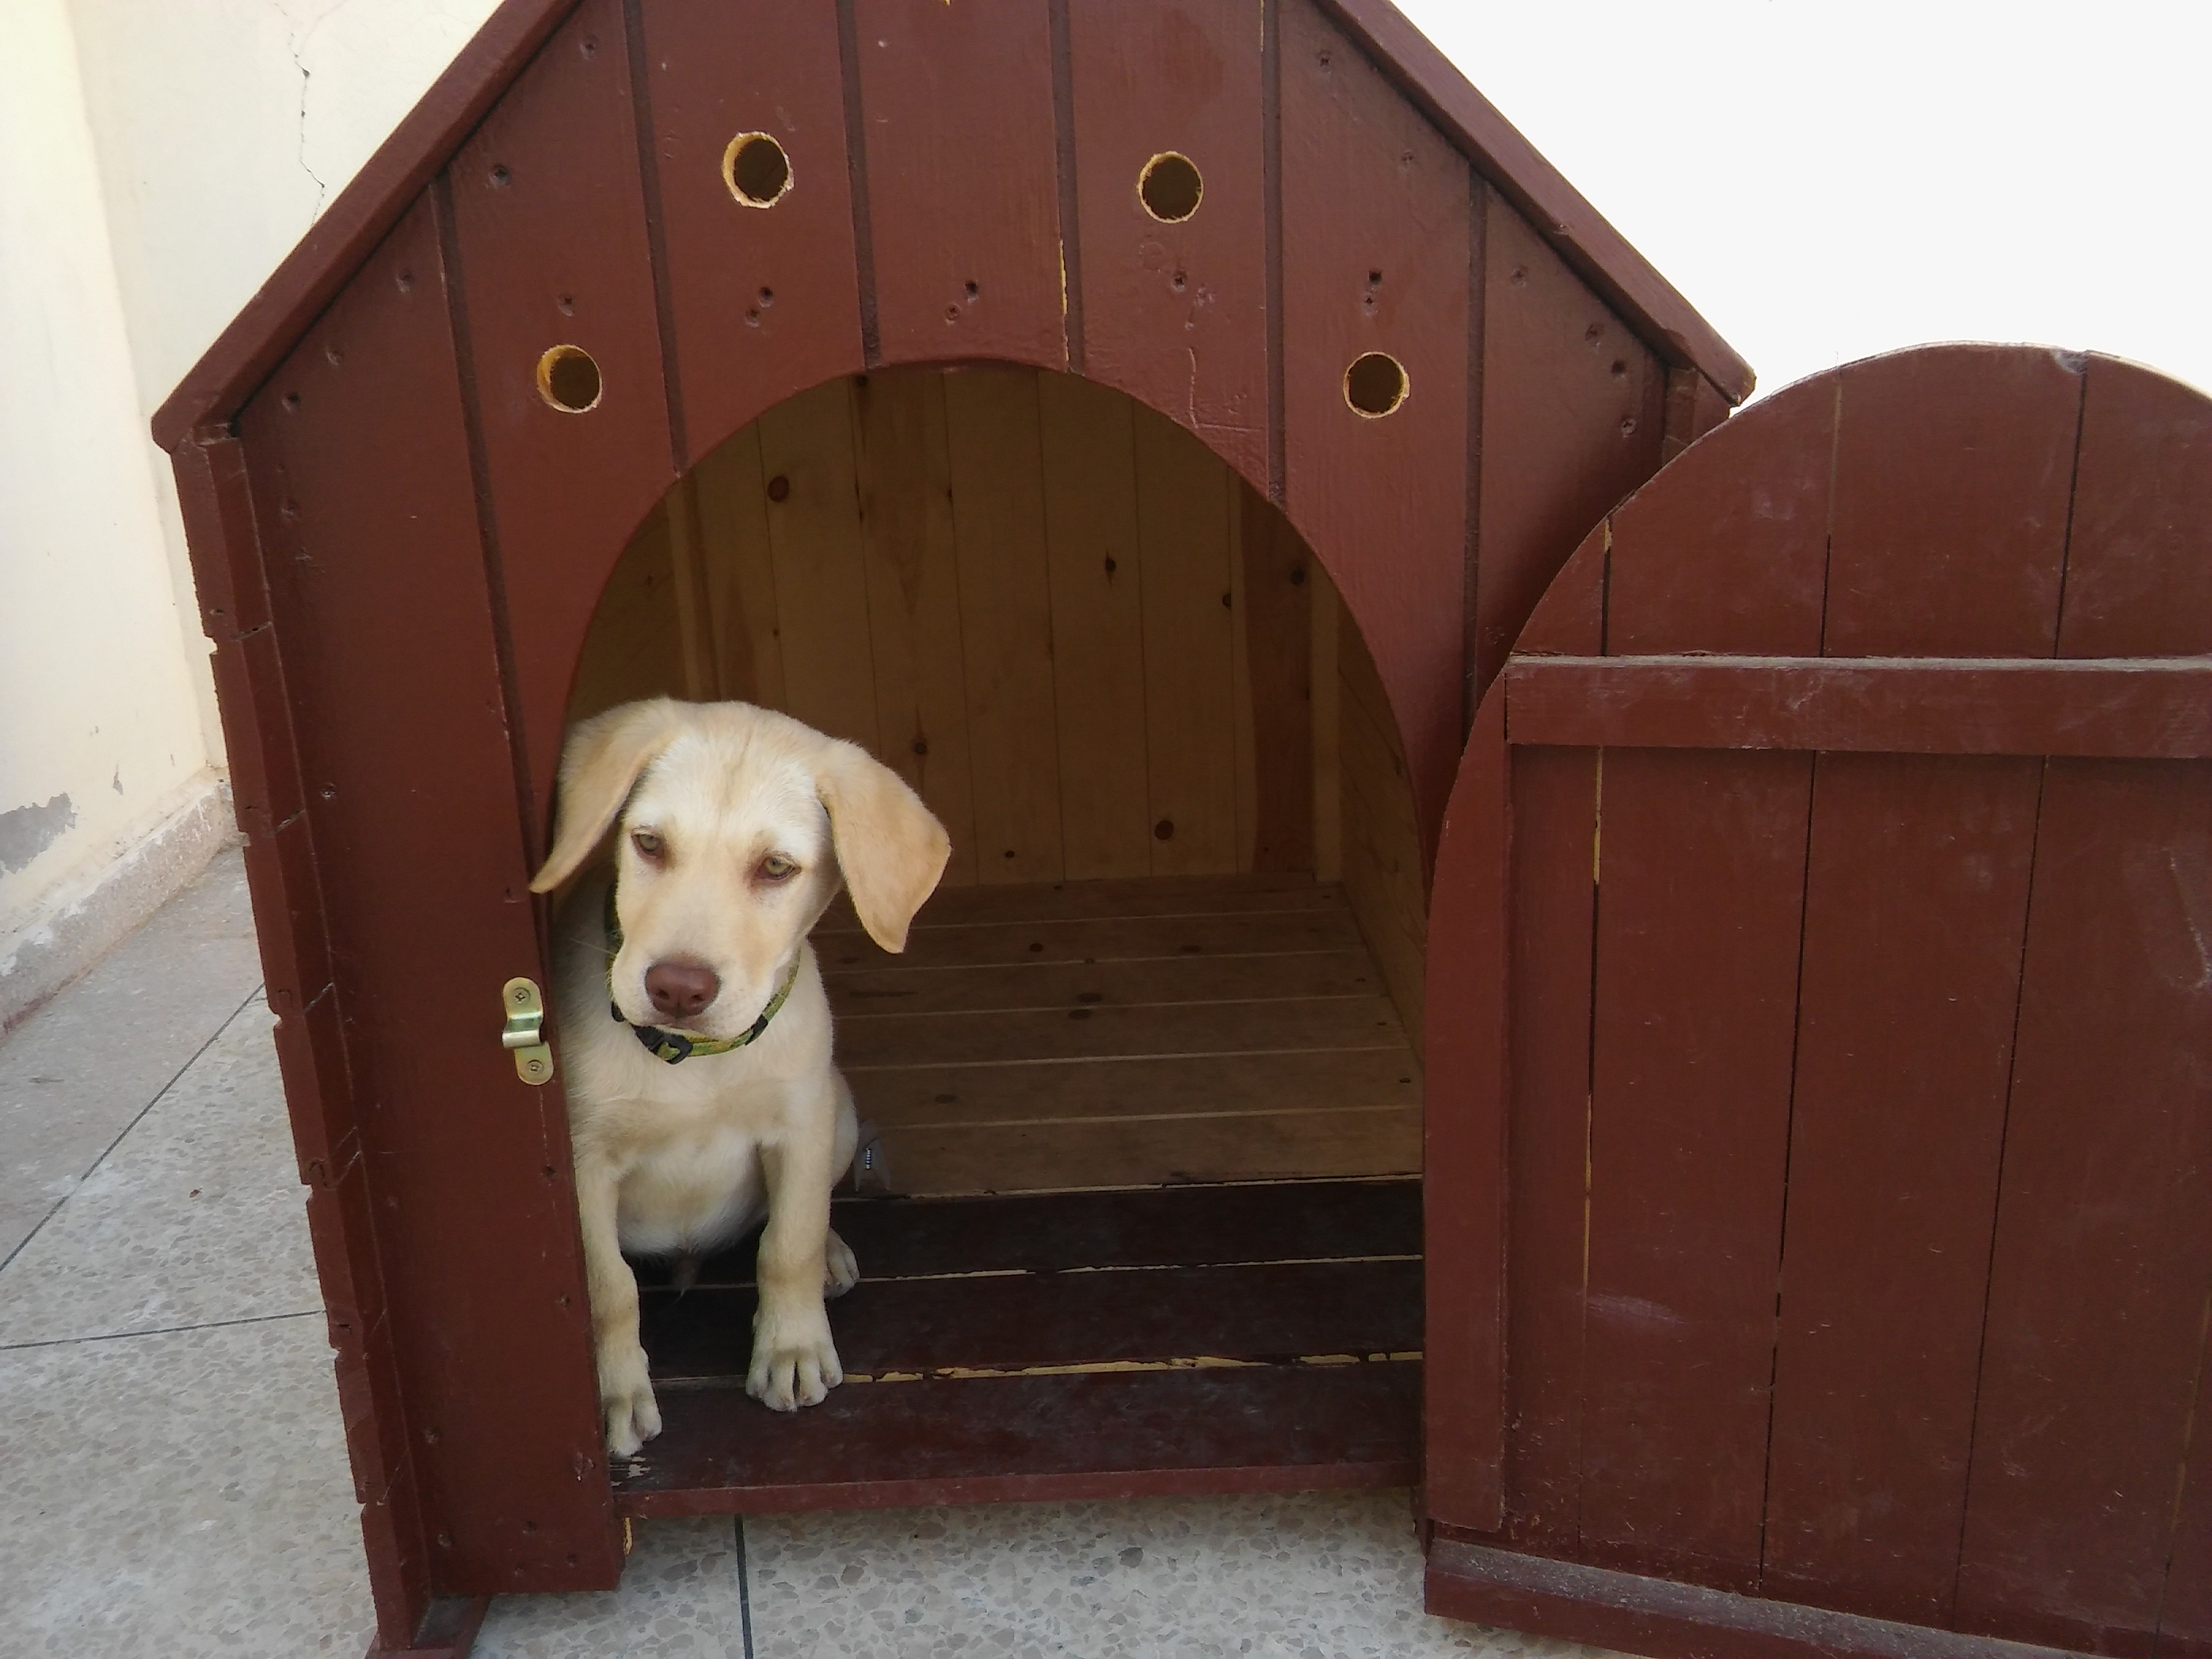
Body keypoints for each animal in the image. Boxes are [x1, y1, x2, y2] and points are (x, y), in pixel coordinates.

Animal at [533, 699, 951, 1451]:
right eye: (649, 844)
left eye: (776, 867)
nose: (677, 987)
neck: (696, 1057)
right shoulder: (584, 1163)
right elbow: (609, 1288)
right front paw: (614, 1393)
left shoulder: (801, 1126)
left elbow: (790, 1242)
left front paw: (792, 1349)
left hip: (840, 1112)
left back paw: (835, 1257)